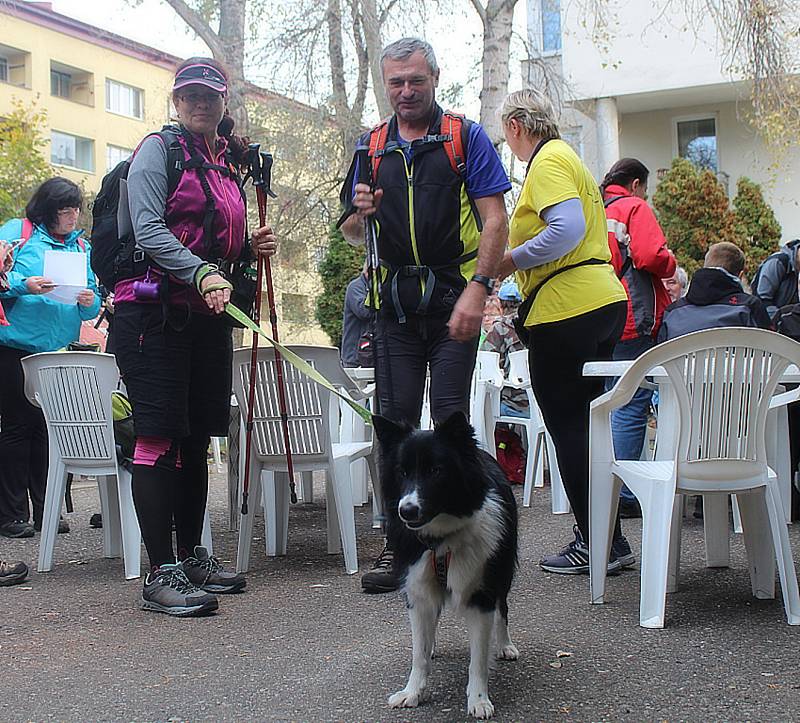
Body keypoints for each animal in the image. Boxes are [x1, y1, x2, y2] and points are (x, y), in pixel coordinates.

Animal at [376, 410, 520, 720]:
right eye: (402, 472)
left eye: (435, 471)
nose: (407, 510)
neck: (440, 541)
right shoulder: (417, 592)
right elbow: (418, 654)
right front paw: (412, 692)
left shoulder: (481, 595)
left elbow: (478, 659)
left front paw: (478, 700)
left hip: (501, 574)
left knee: (503, 608)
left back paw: (505, 645)